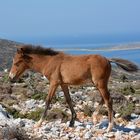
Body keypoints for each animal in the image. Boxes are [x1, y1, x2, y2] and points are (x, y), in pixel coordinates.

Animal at [9, 44, 138, 131]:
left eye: (17, 62)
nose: (11, 77)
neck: (49, 62)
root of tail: (108, 60)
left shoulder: (54, 83)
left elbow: (48, 101)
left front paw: (38, 123)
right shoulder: (63, 84)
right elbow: (69, 100)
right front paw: (72, 121)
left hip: (100, 83)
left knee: (108, 100)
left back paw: (109, 127)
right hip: (99, 83)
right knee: (104, 98)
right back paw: (94, 117)